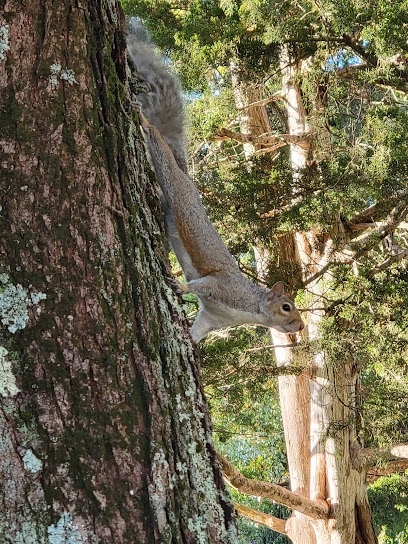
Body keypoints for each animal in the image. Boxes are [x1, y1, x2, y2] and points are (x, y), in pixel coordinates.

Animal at [126, 27, 304, 342]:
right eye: (286, 307)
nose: (301, 326)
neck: (252, 308)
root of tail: (186, 177)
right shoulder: (222, 288)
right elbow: (199, 285)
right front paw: (180, 287)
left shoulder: (213, 317)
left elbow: (198, 331)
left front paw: (190, 342)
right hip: (172, 178)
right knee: (158, 145)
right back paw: (145, 123)